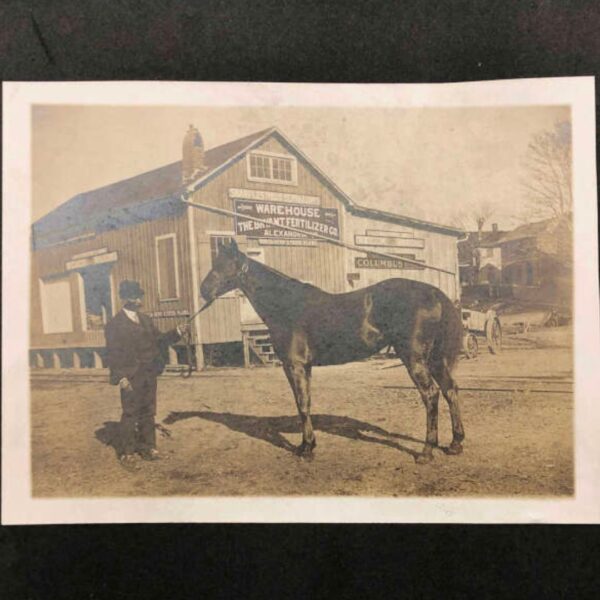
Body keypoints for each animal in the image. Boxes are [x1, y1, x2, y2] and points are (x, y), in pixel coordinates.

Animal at [200, 240, 464, 464]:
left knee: (431, 395)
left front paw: (307, 449)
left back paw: (426, 452)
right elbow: (305, 403)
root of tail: (434, 293)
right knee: (450, 390)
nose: (204, 290)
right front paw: (306, 445)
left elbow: (302, 404)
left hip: (414, 358)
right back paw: (455, 444)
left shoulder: (295, 365)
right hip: (434, 358)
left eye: (224, 265)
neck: (287, 306)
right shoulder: (304, 367)